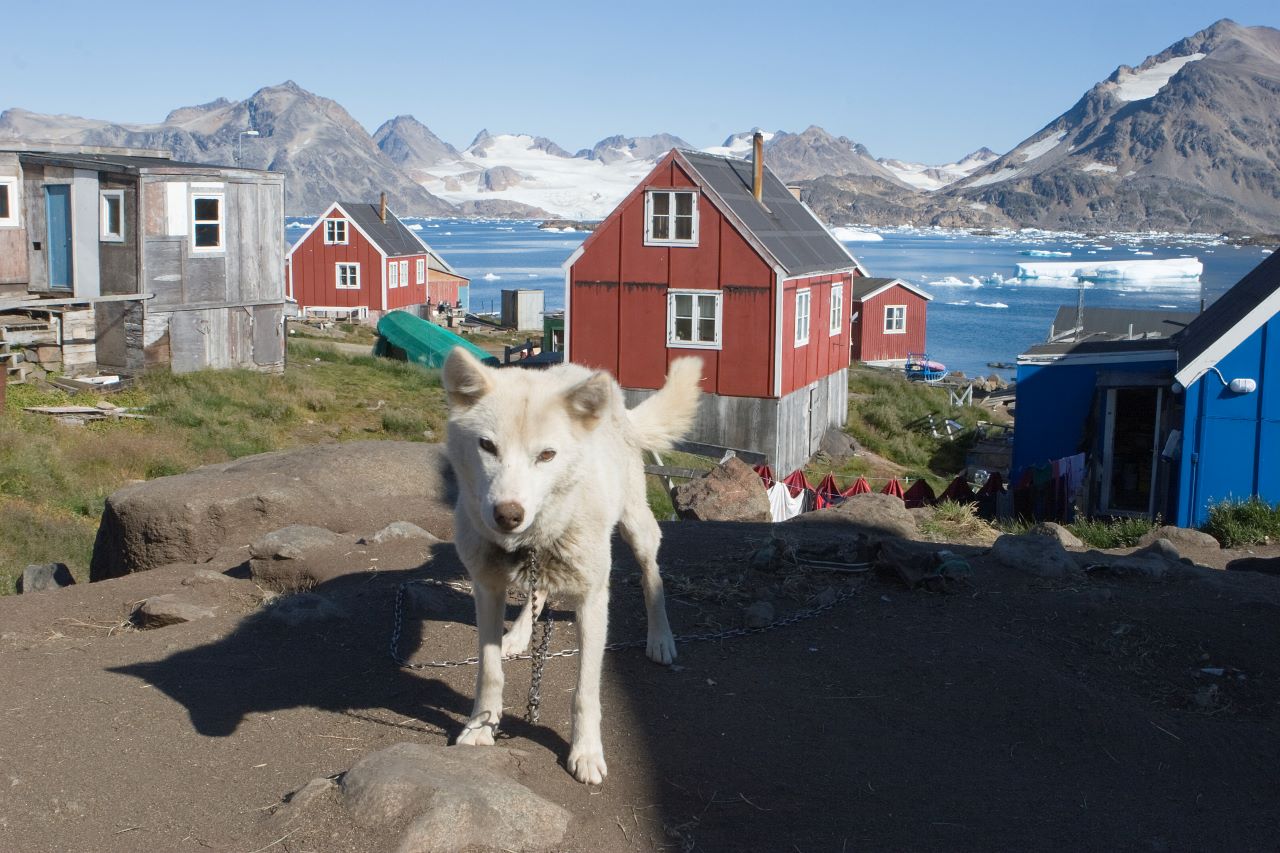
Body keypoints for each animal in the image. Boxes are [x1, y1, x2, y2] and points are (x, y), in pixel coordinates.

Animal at [440, 343, 701, 778]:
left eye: (547, 455)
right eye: (487, 446)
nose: (508, 514)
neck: (531, 539)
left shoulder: (593, 601)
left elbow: (585, 692)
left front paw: (586, 752)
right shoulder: (487, 589)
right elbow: (489, 673)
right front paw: (481, 727)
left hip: (636, 527)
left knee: (652, 577)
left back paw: (660, 638)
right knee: (538, 593)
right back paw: (519, 635)